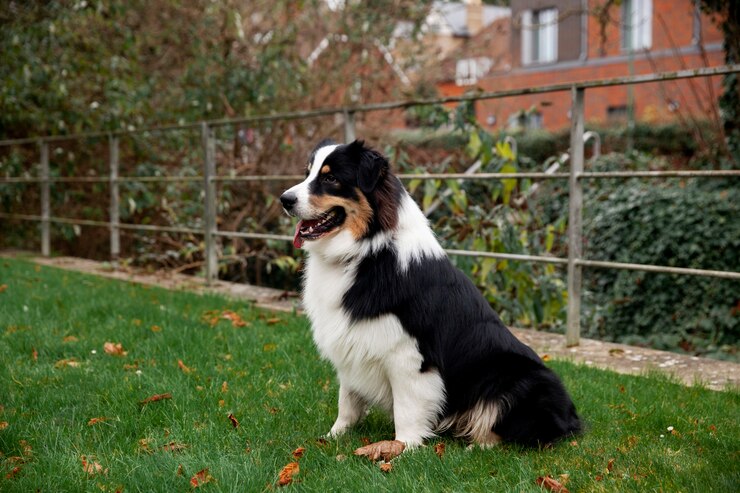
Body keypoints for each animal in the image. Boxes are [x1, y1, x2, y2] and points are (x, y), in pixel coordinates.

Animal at [280, 137, 580, 450]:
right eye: (308, 174)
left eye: (330, 178)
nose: (284, 199)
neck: (367, 250)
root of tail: (572, 418)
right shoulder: (352, 341)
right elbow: (347, 400)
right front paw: (333, 437)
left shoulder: (408, 353)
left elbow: (407, 407)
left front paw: (404, 448)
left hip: (518, 379)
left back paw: (476, 447)